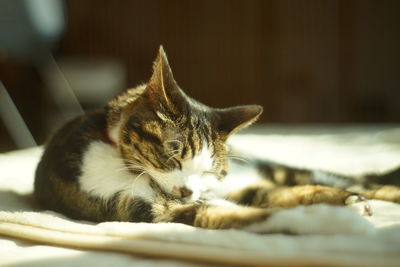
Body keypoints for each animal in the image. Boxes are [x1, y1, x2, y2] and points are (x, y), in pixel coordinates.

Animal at [35, 46, 400, 230]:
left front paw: (346, 206)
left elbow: (285, 193)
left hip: (287, 169)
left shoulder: (224, 187)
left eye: (210, 169)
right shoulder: (141, 208)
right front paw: (318, 221)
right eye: (172, 153)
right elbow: (227, 213)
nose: (188, 190)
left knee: (349, 181)